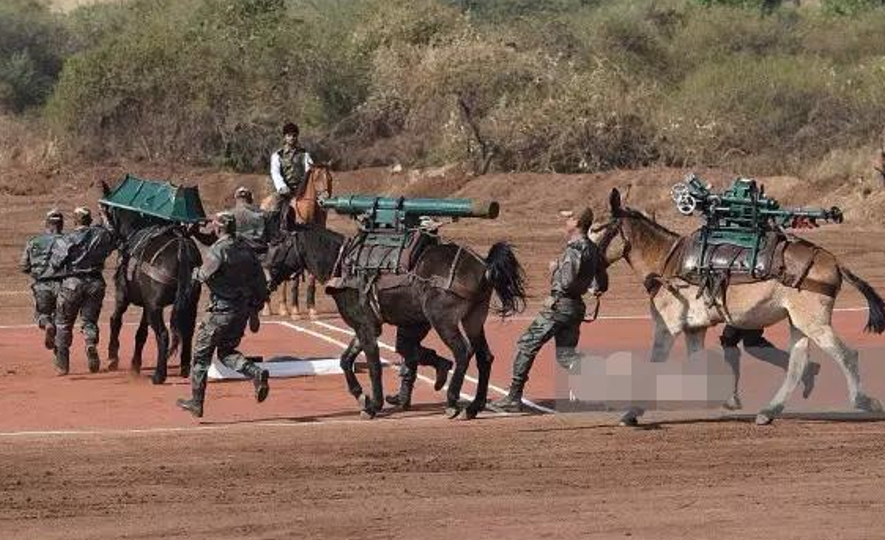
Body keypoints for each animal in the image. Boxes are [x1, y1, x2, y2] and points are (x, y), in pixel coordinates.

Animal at [262, 162, 334, 318]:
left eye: (330, 178)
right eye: (317, 178)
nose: (324, 199)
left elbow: (311, 279)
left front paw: (312, 309)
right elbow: (295, 281)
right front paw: (295, 310)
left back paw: (283, 308)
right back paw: (267, 308)